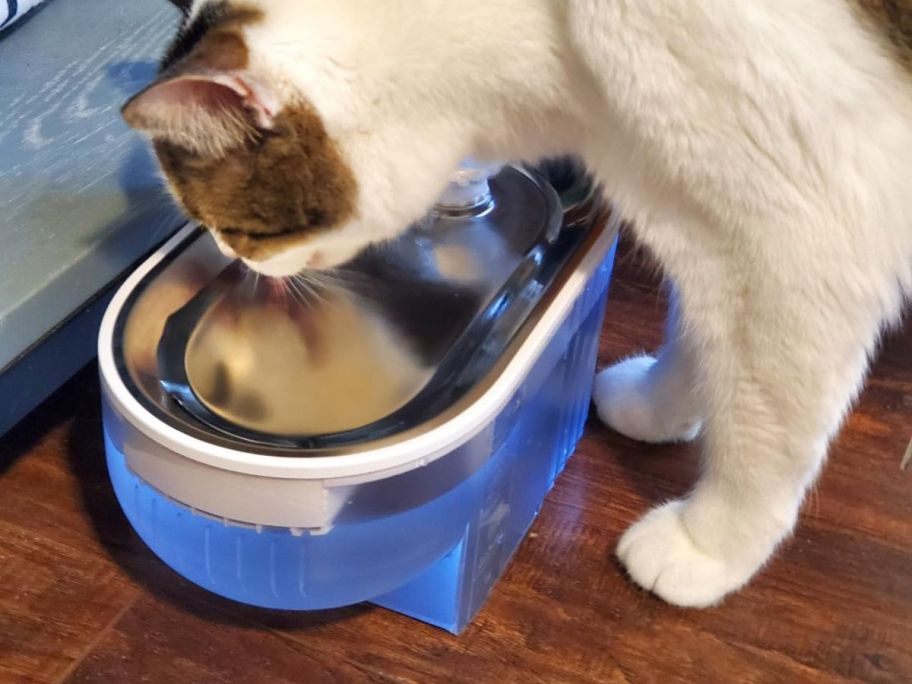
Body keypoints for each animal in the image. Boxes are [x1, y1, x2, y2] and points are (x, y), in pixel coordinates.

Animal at [121, 1, 912, 608]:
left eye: (243, 230)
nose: (236, 264)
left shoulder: (798, 235)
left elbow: (762, 425)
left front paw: (706, 546)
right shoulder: (705, 206)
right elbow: (700, 338)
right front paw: (662, 409)